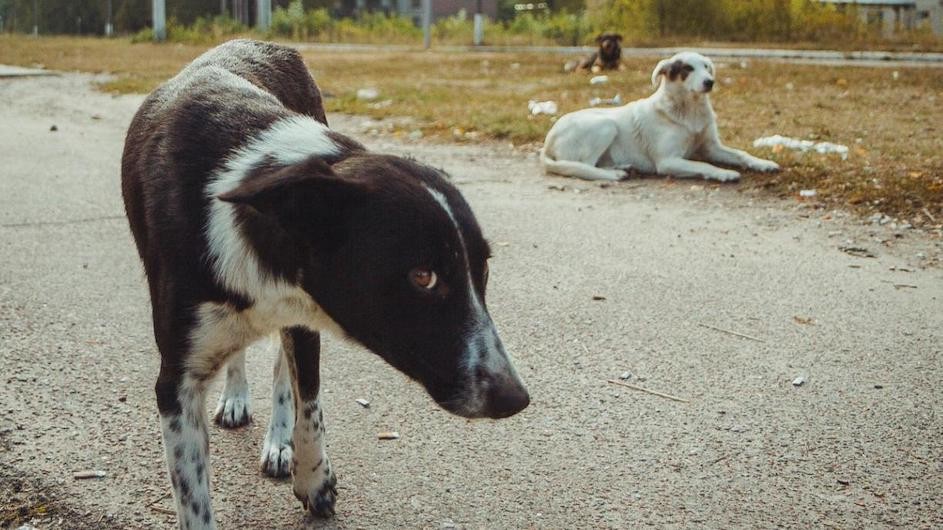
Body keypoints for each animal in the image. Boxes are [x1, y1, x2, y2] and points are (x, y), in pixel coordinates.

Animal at [121, 38, 528, 528]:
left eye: (482, 269)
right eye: (423, 277)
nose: (515, 397)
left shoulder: (303, 313)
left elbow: (308, 403)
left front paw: (312, 476)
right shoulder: (175, 385)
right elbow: (194, 499)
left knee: (283, 370)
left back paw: (279, 442)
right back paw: (236, 397)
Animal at [544, 51, 780, 182]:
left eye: (706, 67)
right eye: (687, 68)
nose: (710, 82)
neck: (689, 109)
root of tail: (548, 139)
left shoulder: (711, 147)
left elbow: (741, 154)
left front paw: (763, 163)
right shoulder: (668, 161)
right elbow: (704, 166)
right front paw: (724, 173)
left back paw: (623, 167)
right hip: (606, 124)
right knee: (584, 166)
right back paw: (615, 175)